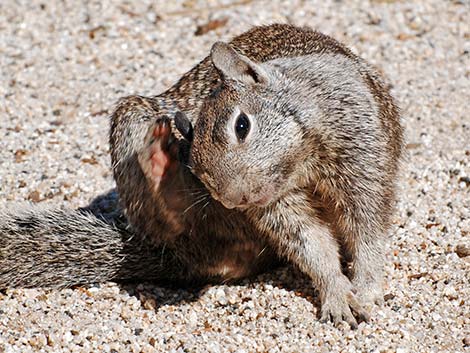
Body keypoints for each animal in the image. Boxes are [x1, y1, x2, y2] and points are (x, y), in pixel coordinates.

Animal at [0, 24, 404, 328]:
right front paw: (336, 293)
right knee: (176, 231)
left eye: (242, 125)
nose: (234, 199)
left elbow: (366, 233)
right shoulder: (277, 207)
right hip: (131, 124)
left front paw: (365, 290)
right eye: (199, 168)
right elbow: (311, 245)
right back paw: (161, 166)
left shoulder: (363, 160)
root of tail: (180, 260)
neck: (301, 165)